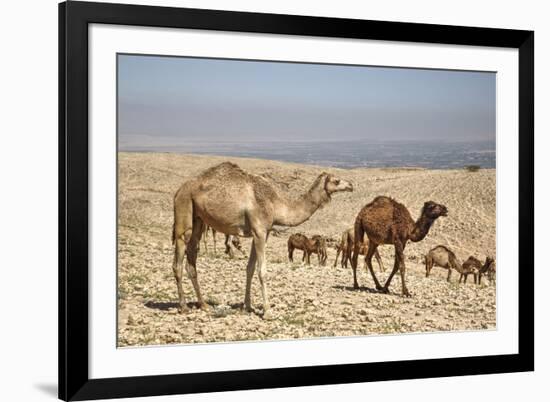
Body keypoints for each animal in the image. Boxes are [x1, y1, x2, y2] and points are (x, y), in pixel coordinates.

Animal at [174, 161, 354, 318]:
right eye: (336, 181)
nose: (351, 185)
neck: (276, 204)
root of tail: (179, 190)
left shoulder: (262, 232)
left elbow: (250, 268)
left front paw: (247, 306)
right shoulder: (259, 230)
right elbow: (262, 271)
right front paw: (267, 312)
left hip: (198, 218)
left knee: (192, 258)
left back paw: (203, 304)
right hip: (184, 207)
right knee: (179, 255)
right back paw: (183, 306)